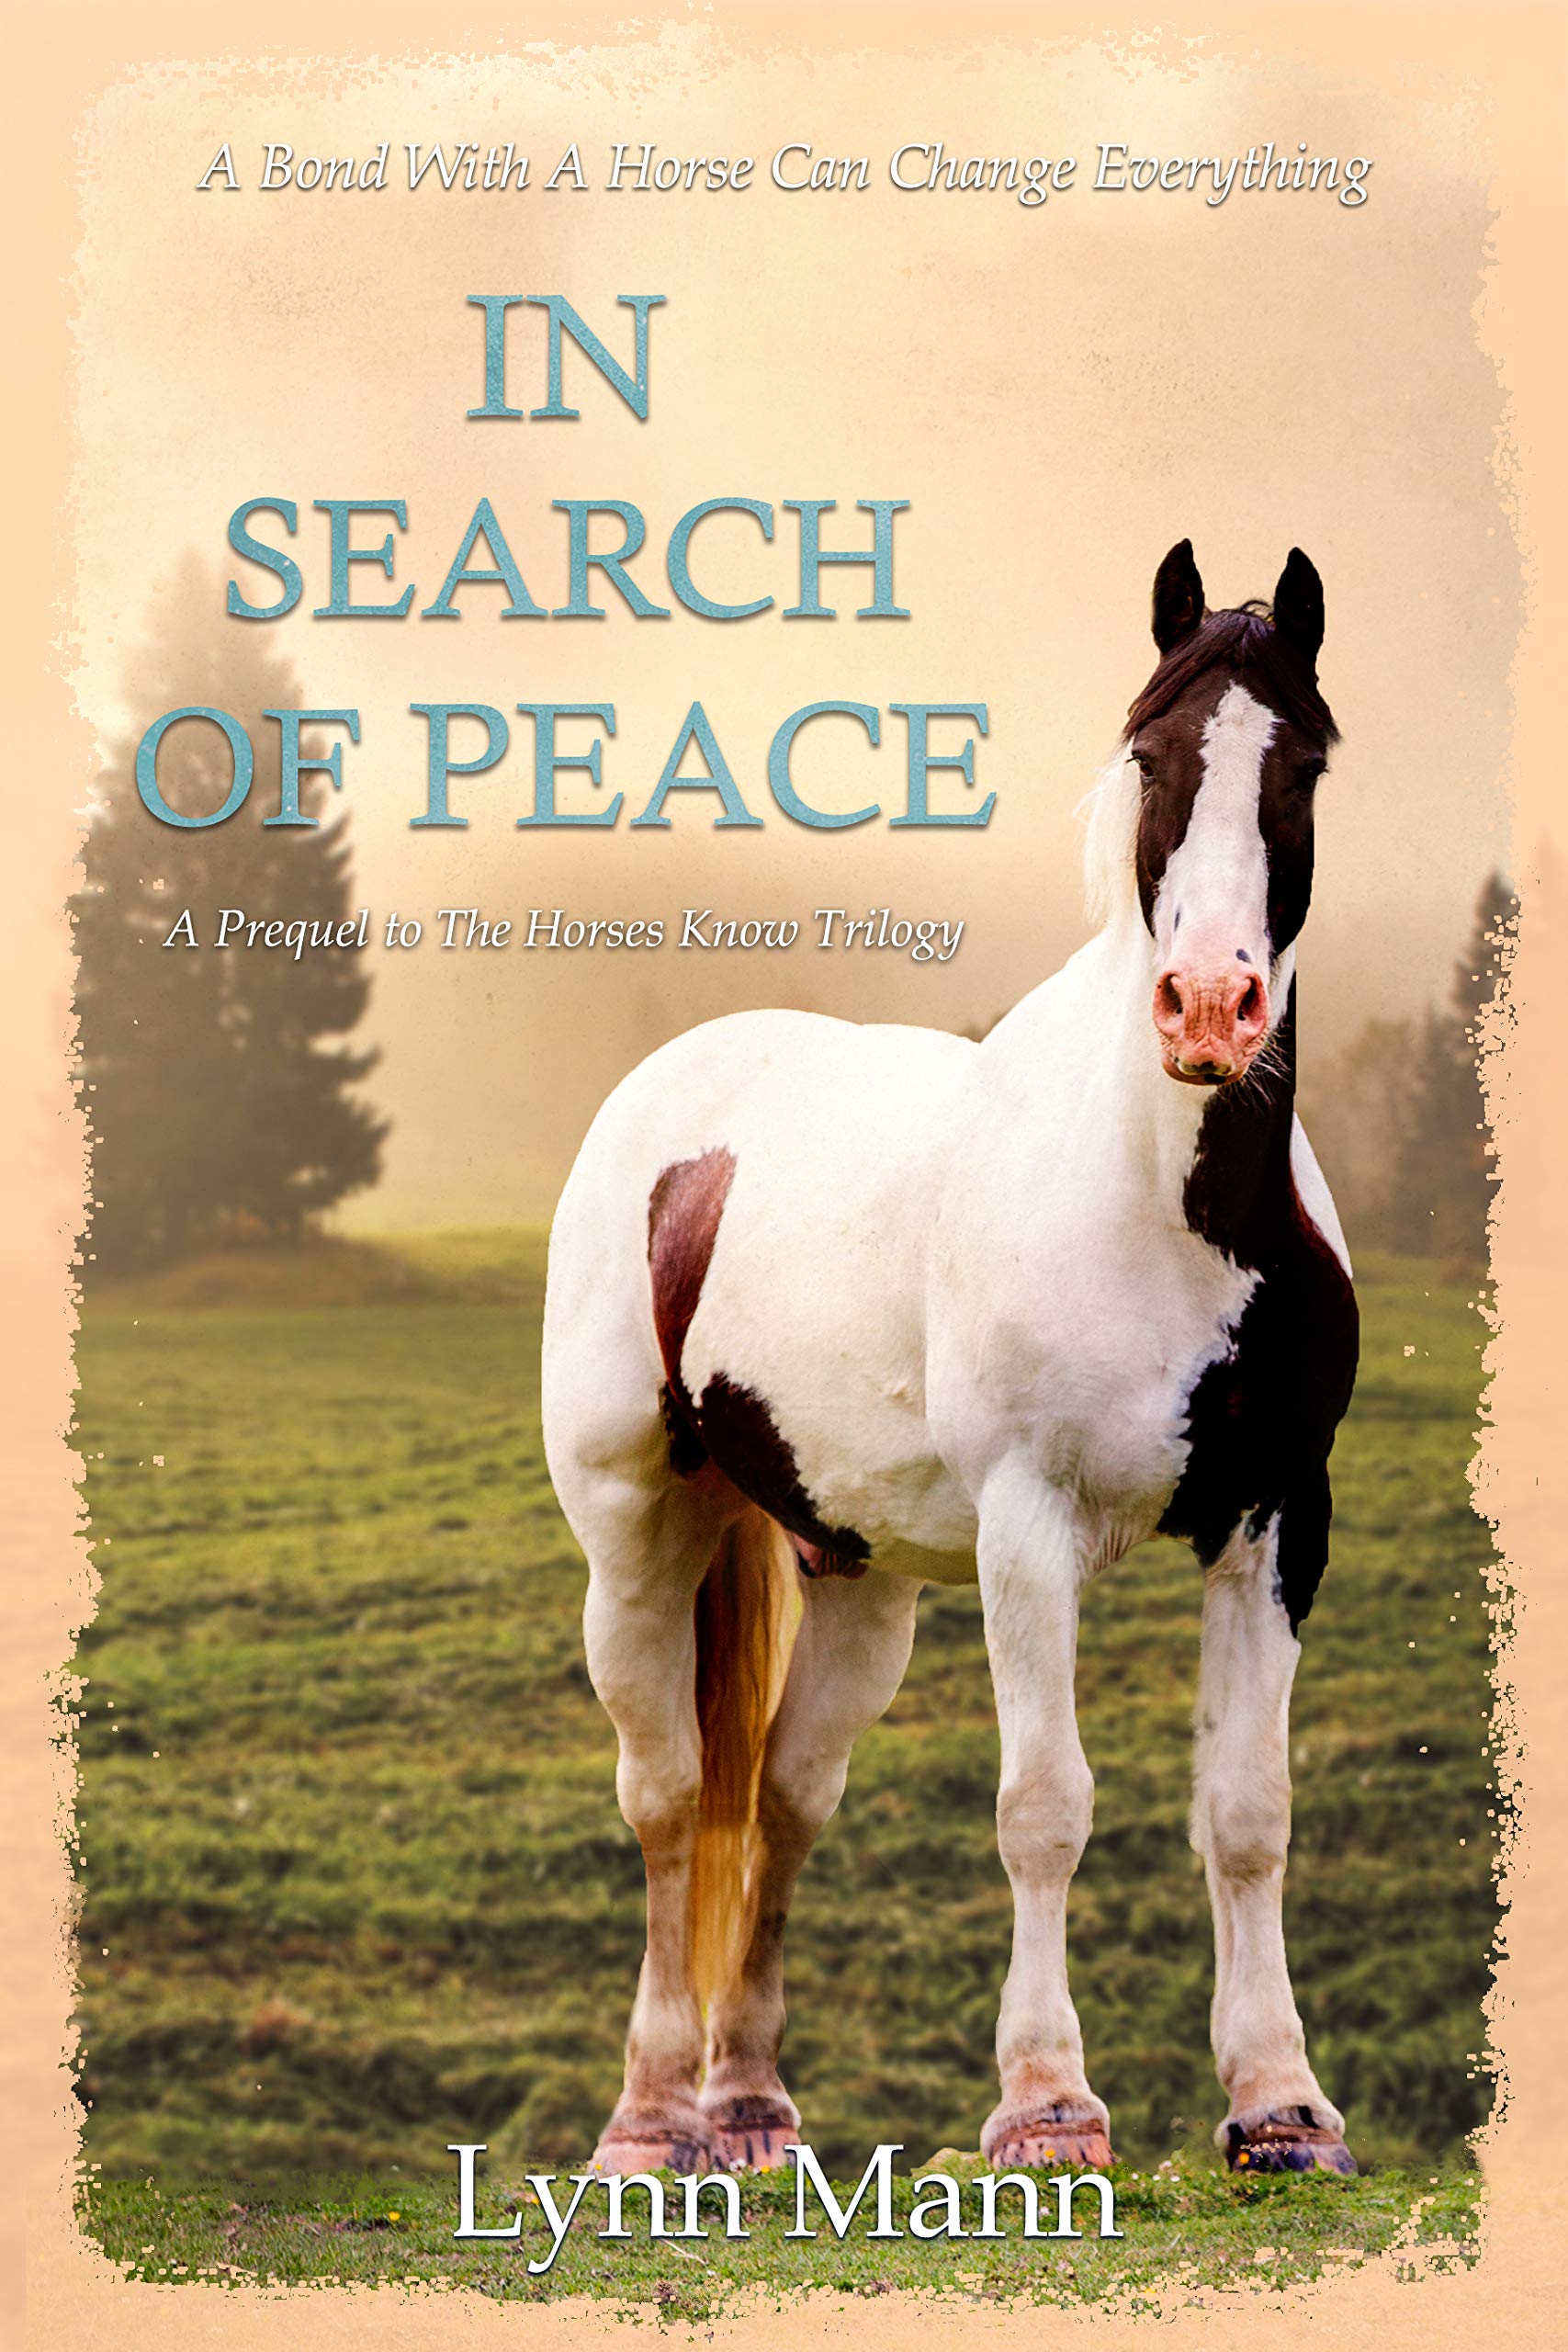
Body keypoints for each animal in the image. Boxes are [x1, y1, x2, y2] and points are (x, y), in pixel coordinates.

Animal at [540, 539, 1360, 2181]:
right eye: (1150, 759)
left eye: (1297, 764)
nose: (1208, 1006)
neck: (1165, 1201)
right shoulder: (1025, 1530)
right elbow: (1042, 1805)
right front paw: (1046, 2105)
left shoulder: (1274, 1518)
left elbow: (1246, 1811)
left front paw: (1278, 2103)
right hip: (635, 1530)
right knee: (669, 1800)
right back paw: (648, 2122)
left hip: (851, 1573)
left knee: (782, 1798)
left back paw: (748, 2107)